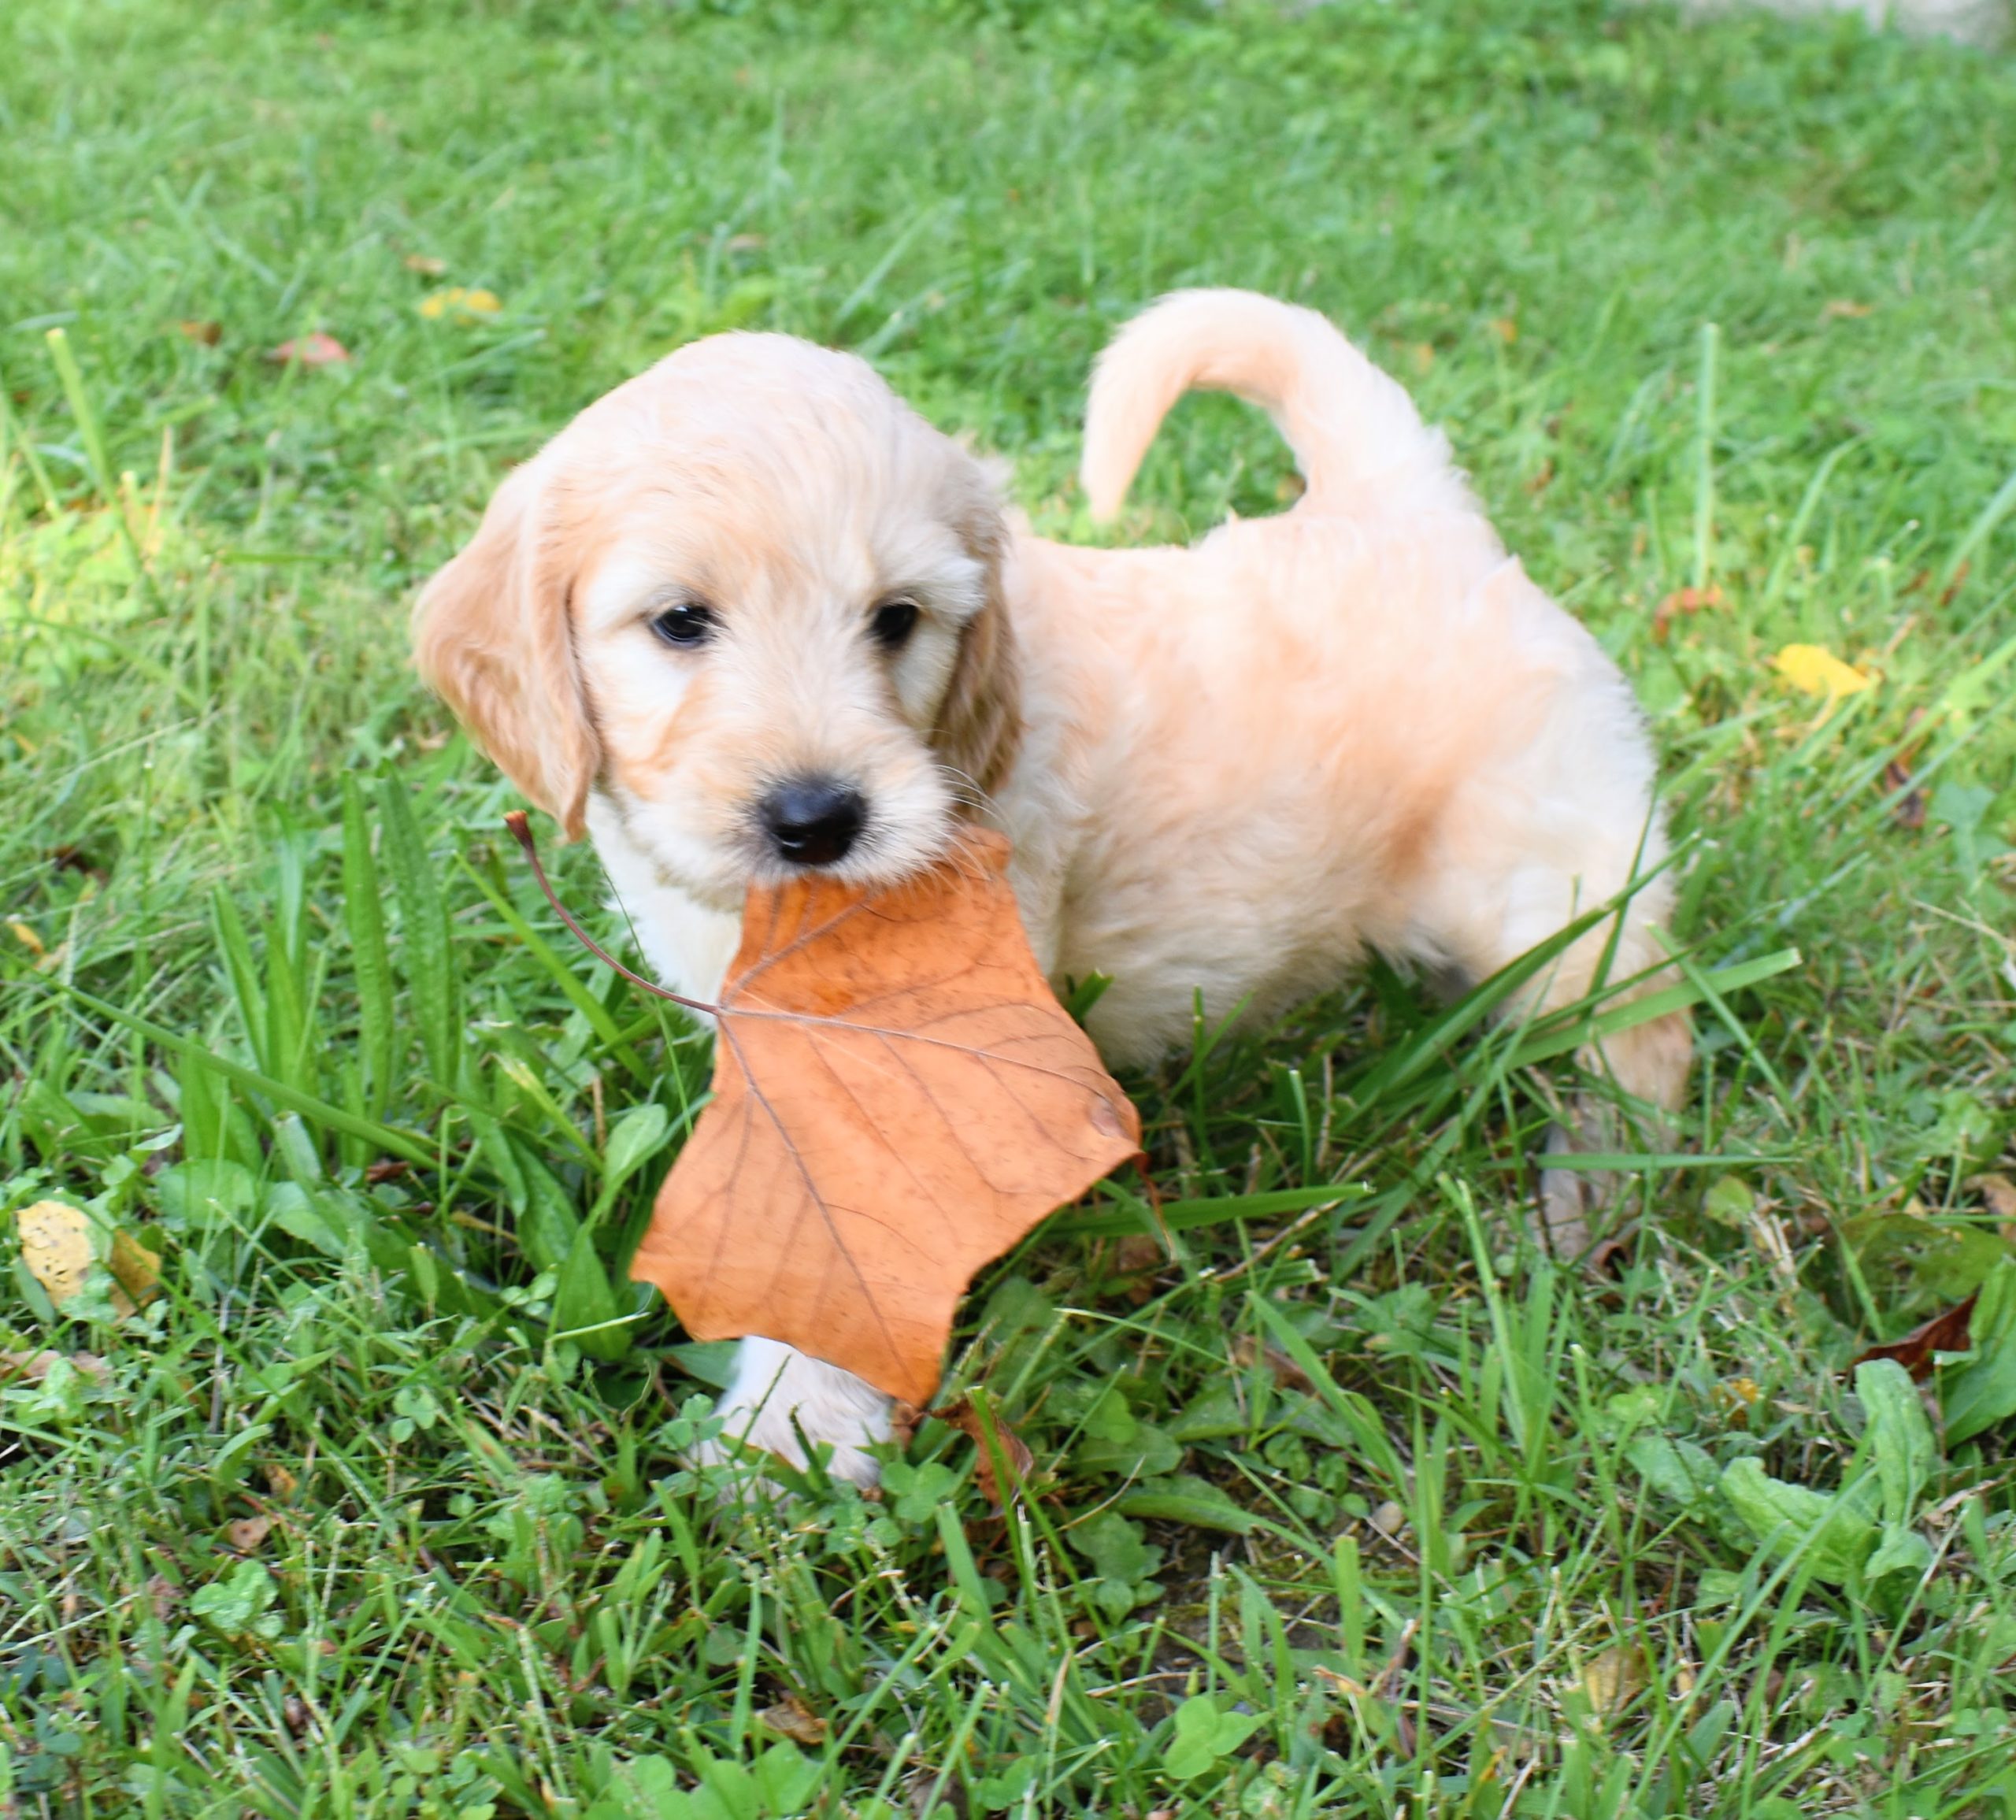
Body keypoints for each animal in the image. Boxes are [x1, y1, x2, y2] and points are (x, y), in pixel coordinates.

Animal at [413, 292, 1685, 1491]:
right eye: (680, 620)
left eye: (897, 619)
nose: (818, 819)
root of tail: (1410, 508)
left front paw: (793, 1435)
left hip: (1554, 883)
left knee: (1640, 1035)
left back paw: (1594, 1189)